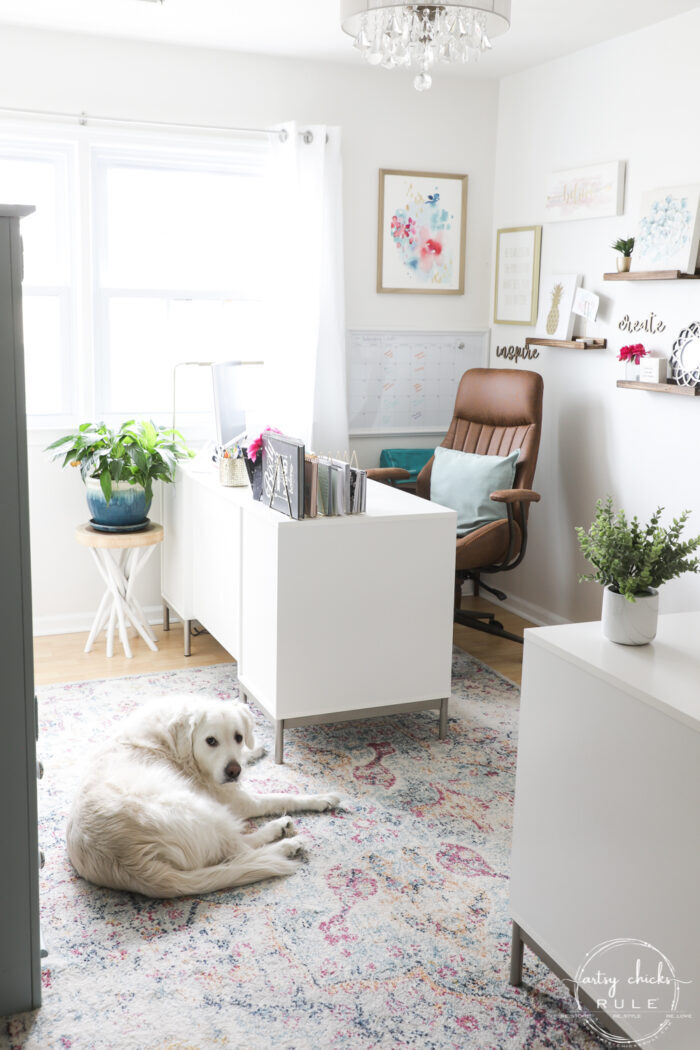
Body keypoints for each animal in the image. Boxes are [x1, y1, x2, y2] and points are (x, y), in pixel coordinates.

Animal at [67, 692, 340, 898]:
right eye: (211, 741)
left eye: (238, 737)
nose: (233, 771)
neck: (174, 743)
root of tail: (132, 865)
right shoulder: (234, 799)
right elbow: (283, 796)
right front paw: (321, 798)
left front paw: (254, 749)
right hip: (201, 809)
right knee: (240, 850)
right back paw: (285, 840)